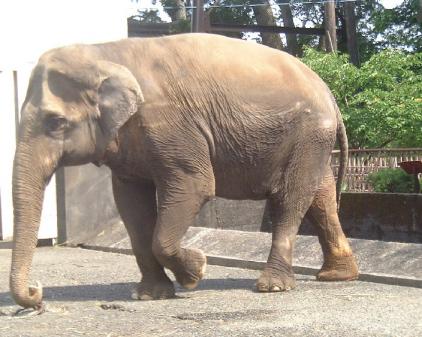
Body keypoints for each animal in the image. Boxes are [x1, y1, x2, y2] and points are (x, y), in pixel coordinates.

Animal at [9, 33, 358, 308]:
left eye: (55, 122)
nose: (37, 293)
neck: (104, 52)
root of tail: (329, 93)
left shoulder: (170, 124)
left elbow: (195, 186)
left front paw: (196, 272)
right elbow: (131, 203)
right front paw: (149, 295)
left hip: (309, 133)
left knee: (289, 198)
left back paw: (272, 286)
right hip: (312, 141)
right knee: (320, 199)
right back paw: (336, 275)